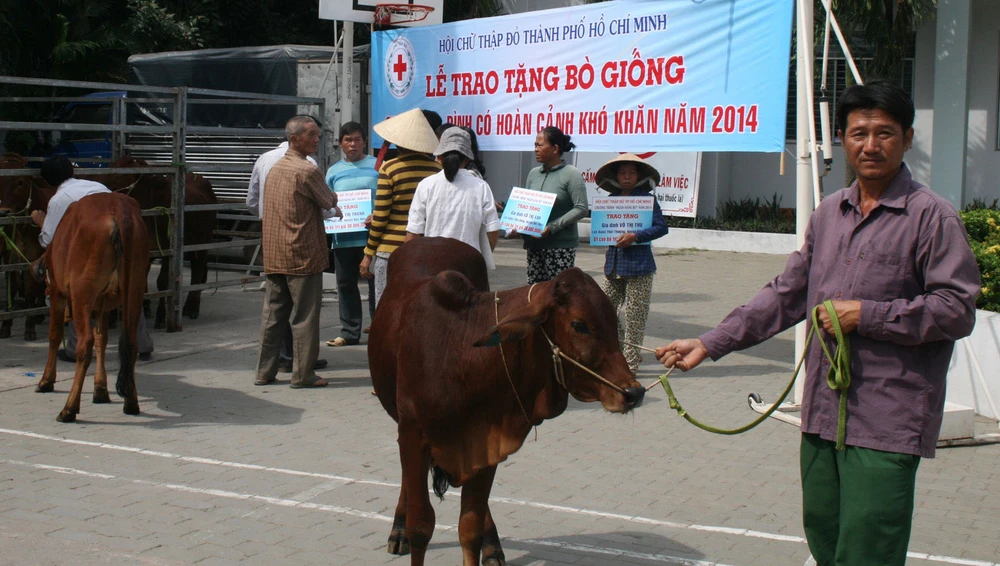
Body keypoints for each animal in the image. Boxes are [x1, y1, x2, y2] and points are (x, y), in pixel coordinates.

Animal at [0, 152, 54, 342]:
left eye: (20, 182)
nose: (3, 212)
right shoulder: (10, 257)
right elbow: (13, 285)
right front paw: (5, 326)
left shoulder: (34, 256)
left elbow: (30, 289)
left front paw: (29, 328)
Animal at [32, 158, 150, 424]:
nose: (37, 268)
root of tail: (120, 211)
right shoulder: (103, 304)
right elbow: (102, 340)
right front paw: (100, 389)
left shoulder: (57, 293)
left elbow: (54, 335)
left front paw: (46, 380)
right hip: (134, 289)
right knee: (129, 343)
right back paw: (131, 402)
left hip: (81, 294)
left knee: (83, 344)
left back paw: (69, 408)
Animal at [104, 156, 216, 332]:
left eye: (118, 174)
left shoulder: (166, 249)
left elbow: (162, 282)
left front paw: (161, 317)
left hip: (203, 241)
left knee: (198, 271)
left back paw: (192, 308)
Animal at [372, 237, 644, 566]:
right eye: (579, 324)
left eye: (613, 321)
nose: (633, 393)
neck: (461, 353)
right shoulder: (414, 435)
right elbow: (421, 525)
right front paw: (406, 529)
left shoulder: (487, 440)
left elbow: (470, 528)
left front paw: (484, 541)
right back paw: (397, 529)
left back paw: (493, 547)